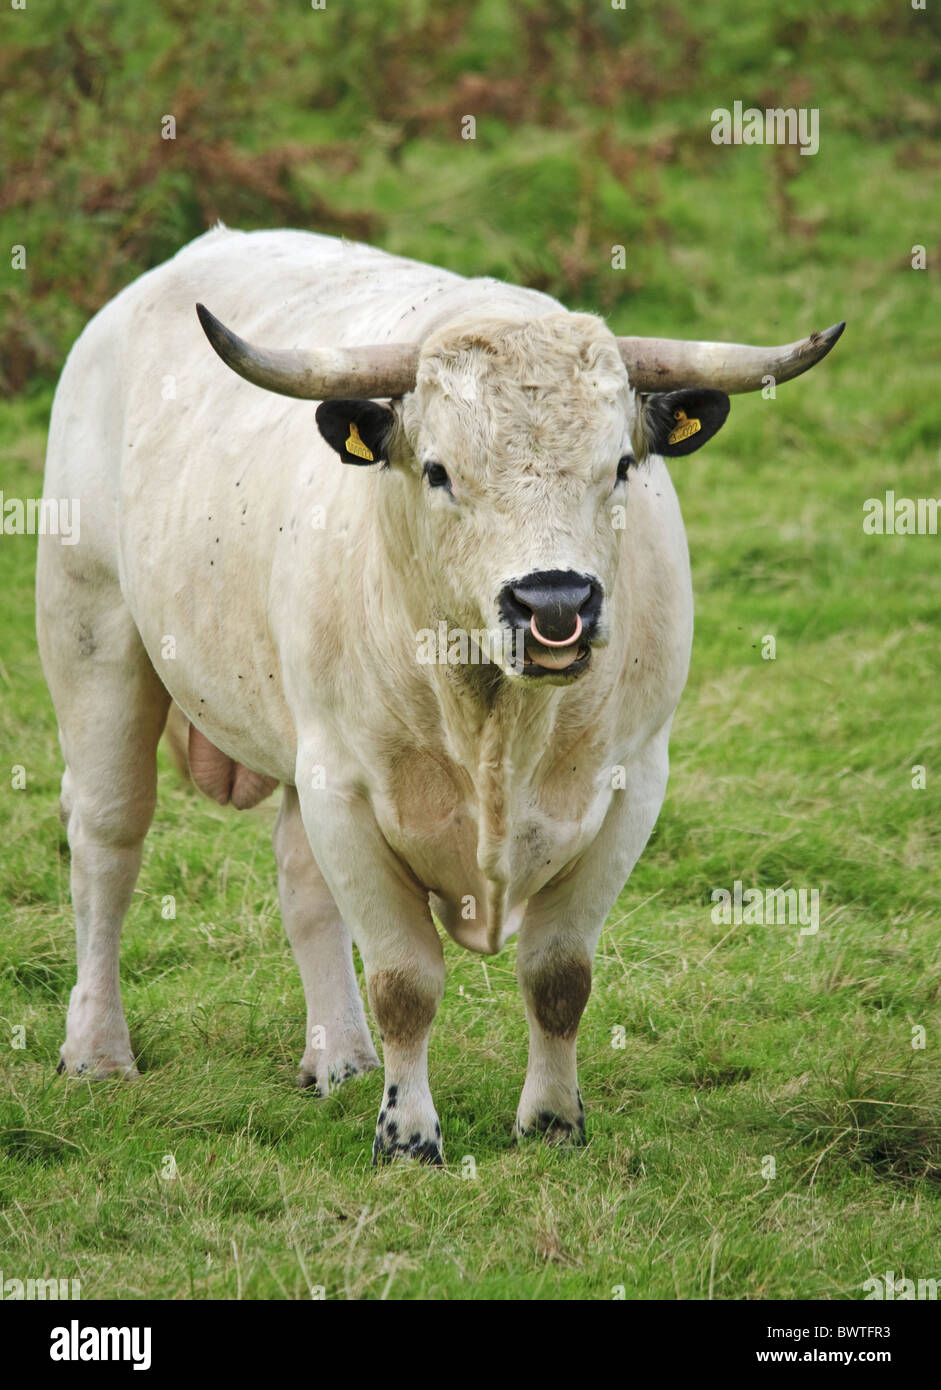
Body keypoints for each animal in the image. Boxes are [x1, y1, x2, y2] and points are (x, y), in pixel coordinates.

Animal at [36, 226, 842, 1163]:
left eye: (618, 466)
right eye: (437, 470)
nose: (554, 604)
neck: (497, 723)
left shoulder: (630, 783)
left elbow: (558, 975)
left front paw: (552, 1121)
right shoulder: (346, 788)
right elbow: (404, 982)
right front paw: (407, 1136)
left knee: (300, 883)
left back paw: (340, 1060)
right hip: (94, 634)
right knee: (108, 839)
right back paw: (97, 1050)